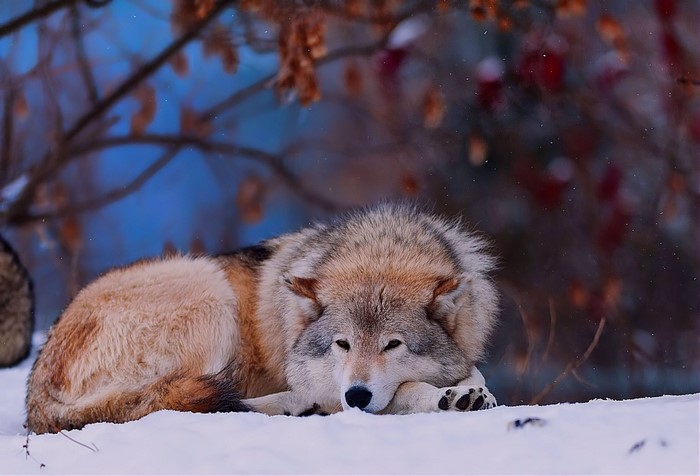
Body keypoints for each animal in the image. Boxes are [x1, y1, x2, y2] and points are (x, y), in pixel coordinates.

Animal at [26, 203, 499, 433]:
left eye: (393, 344)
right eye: (342, 344)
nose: (356, 395)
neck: (381, 249)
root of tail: (36, 392)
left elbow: (473, 370)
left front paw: (471, 391)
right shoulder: (333, 385)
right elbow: (404, 390)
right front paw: (446, 397)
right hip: (210, 293)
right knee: (188, 402)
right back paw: (297, 405)